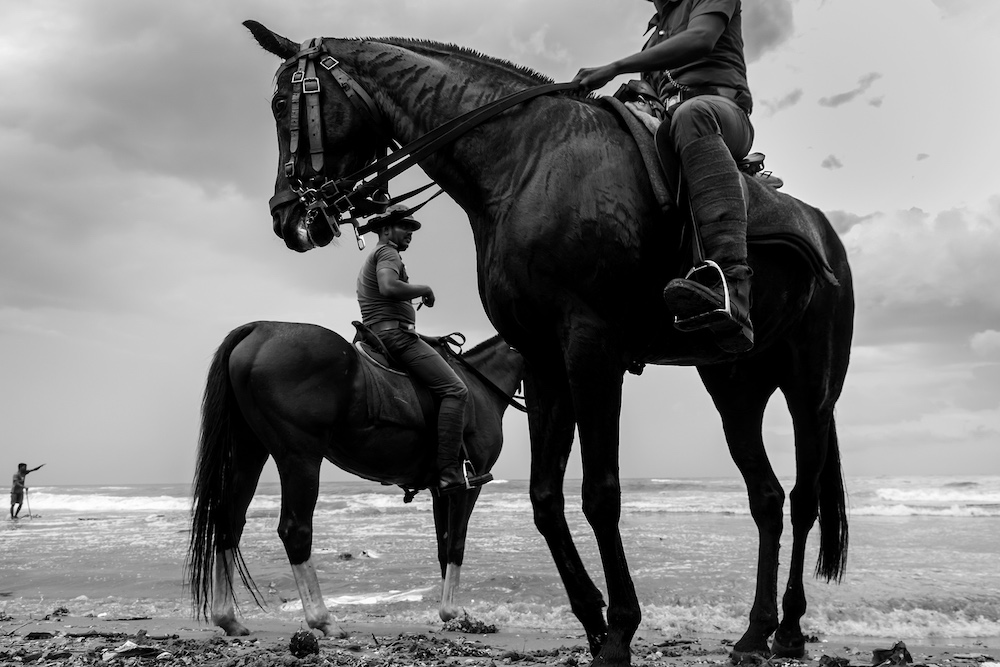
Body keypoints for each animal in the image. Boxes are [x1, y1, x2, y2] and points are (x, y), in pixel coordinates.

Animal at [186, 322, 524, 636]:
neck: (480, 387)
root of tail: (261, 330)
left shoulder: (441, 489)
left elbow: (443, 545)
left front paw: (448, 613)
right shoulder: (466, 487)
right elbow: (456, 544)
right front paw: (454, 613)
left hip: (248, 452)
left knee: (230, 521)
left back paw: (228, 618)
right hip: (300, 457)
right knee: (295, 530)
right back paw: (323, 619)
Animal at [242, 23, 852, 664]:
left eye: (283, 104)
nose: (288, 217)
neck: (525, 163)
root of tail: (822, 231)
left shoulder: (590, 350)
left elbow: (601, 494)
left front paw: (621, 629)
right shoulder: (542, 359)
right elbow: (543, 497)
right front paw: (593, 620)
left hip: (810, 388)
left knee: (805, 498)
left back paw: (789, 628)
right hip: (734, 387)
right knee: (767, 498)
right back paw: (756, 631)